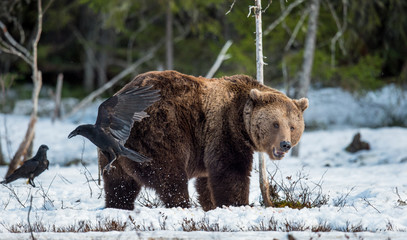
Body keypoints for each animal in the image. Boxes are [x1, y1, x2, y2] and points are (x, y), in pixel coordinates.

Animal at [99, 69, 310, 210]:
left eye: (292, 126)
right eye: (275, 124)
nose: (285, 144)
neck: (242, 120)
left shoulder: (206, 144)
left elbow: (206, 180)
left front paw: (211, 204)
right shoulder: (224, 130)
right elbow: (231, 170)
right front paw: (237, 203)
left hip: (112, 152)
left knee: (119, 184)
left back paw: (118, 206)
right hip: (161, 129)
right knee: (170, 174)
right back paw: (182, 203)